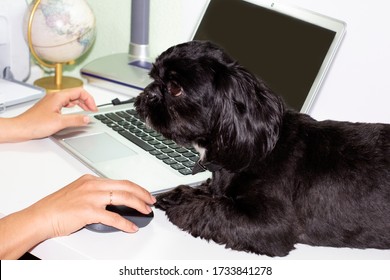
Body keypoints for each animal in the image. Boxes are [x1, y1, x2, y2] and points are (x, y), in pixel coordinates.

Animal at [135, 40, 390, 258]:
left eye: (175, 89)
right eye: (153, 77)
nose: (148, 94)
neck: (260, 147)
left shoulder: (270, 226)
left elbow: (214, 208)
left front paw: (182, 205)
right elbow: (210, 193)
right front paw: (179, 194)